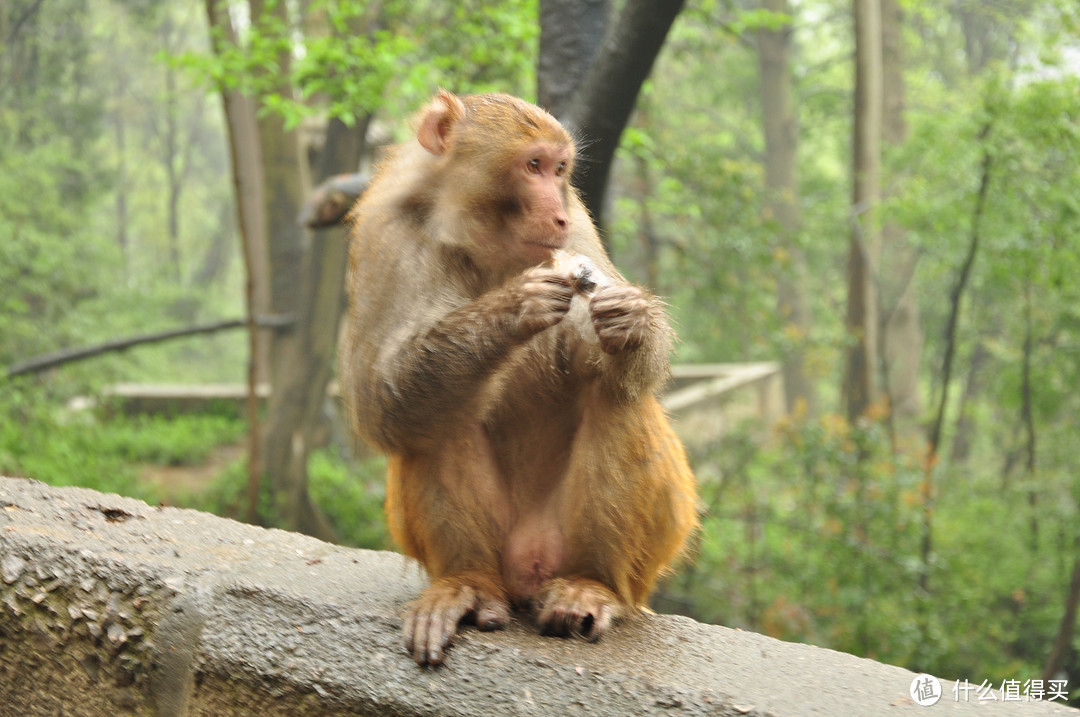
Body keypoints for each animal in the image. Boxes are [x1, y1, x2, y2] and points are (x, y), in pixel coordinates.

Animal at [343, 89, 699, 665]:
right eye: (532, 166)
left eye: (559, 170)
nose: (554, 214)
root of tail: (527, 570)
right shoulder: (385, 235)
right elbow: (379, 403)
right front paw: (514, 308)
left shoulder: (580, 227)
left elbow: (616, 363)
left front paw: (633, 322)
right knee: (436, 420)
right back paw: (469, 585)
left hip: (621, 552)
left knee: (615, 397)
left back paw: (590, 585)